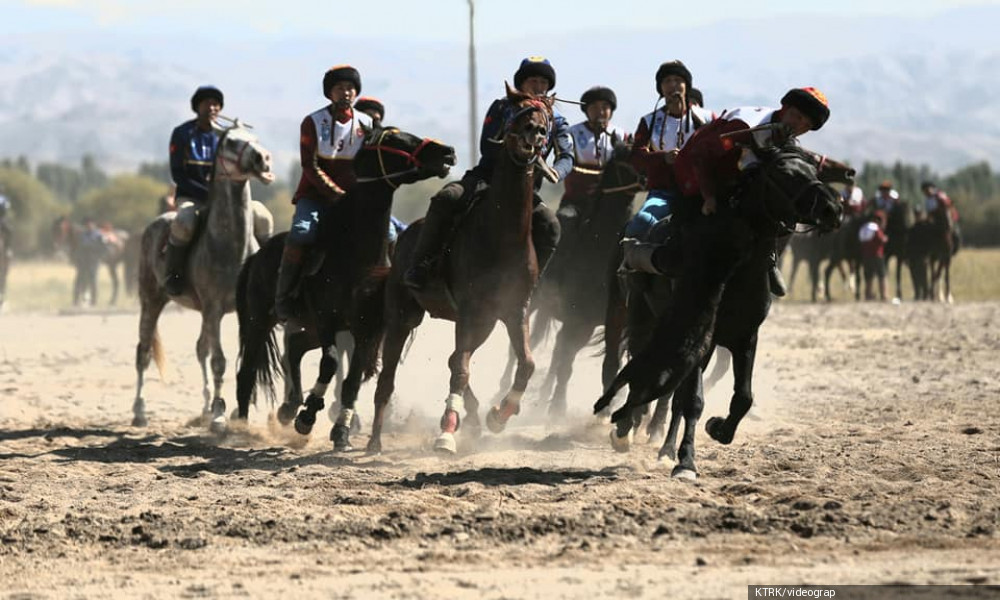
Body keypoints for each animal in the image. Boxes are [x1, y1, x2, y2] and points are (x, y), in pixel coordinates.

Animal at [133, 122, 276, 428]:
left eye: (255, 138)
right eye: (231, 141)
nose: (263, 159)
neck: (232, 248)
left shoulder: (238, 311)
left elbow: (240, 355)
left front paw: (230, 410)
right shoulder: (213, 308)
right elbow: (219, 361)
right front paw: (220, 414)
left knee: (200, 349)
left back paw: (204, 407)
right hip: (151, 301)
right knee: (143, 352)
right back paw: (139, 411)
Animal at [232, 123, 456, 450]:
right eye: (394, 138)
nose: (447, 152)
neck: (354, 255)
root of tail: (256, 256)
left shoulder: (364, 328)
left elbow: (351, 381)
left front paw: (341, 432)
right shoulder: (328, 319)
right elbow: (330, 362)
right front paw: (308, 415)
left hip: (310, 326)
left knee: (295, 347)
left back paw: (288, 407)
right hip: (260, 320)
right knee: (247, 372)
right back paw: (240, 428)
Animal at [368, 84, 556, 454]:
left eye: (545, 115)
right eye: (517, 110)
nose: (536, 132)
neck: (502, 235)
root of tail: (404, 236)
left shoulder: (514, 310)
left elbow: (526, 363)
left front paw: (500, 414)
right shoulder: (471, 310)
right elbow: (461, 370)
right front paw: (447, 431)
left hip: (482, 322)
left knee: (455, 358)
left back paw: (476, 417)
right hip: (402, 317)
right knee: (390, 378)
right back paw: (375, 441)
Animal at [592, 145, 844, 478]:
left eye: (815, 170)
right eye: (785, 174)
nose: (832, 208)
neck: (734, 271)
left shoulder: (744, 337)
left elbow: (742, 398)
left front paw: (716, 429)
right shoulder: (701, 338)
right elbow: (692, 400)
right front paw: (685, 461)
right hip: (635, 313)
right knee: (631, 361)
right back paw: (626, 428)